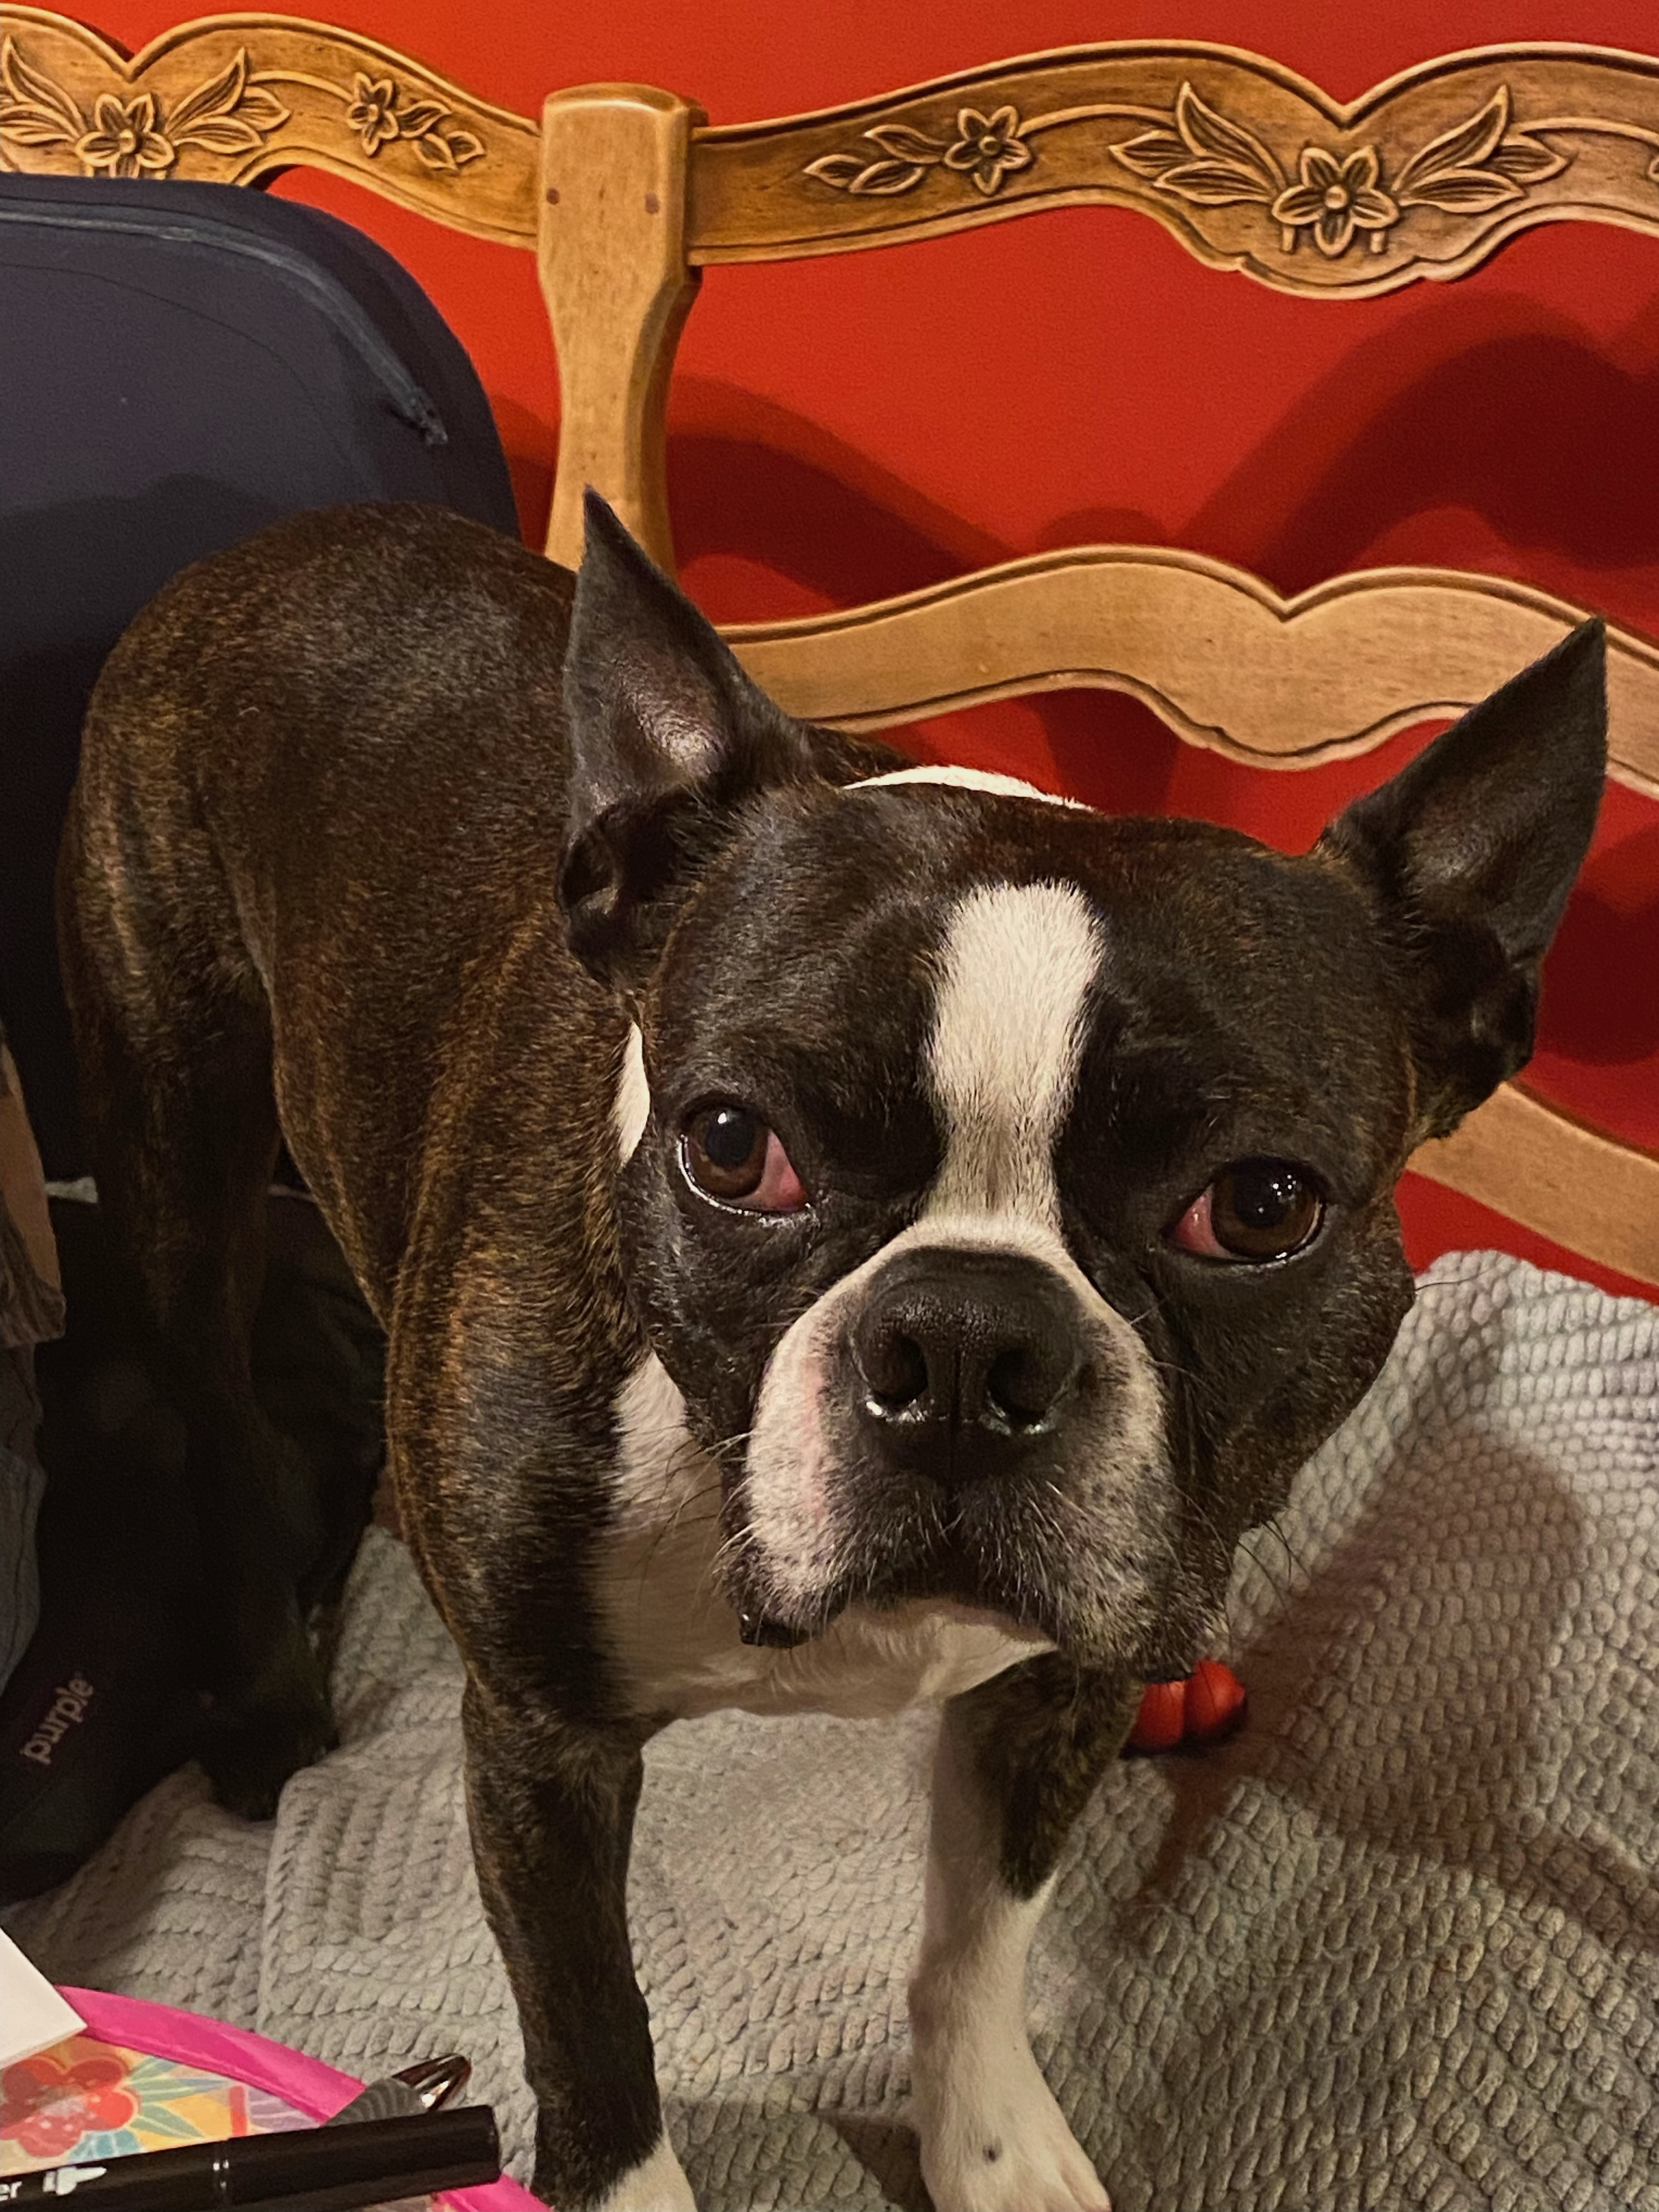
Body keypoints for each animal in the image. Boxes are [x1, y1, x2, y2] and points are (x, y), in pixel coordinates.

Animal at [61, 502, 1610, 2212]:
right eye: (735, 1149)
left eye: (1261, 1207)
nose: (966, 1342)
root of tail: (298, 537)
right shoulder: (541, 1749)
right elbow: (591, 2030)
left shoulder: (1060, 1690)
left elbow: (979, 1945)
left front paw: (992, 2149)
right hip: (176, 1145)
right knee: (215, 1421)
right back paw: (269, 1708)